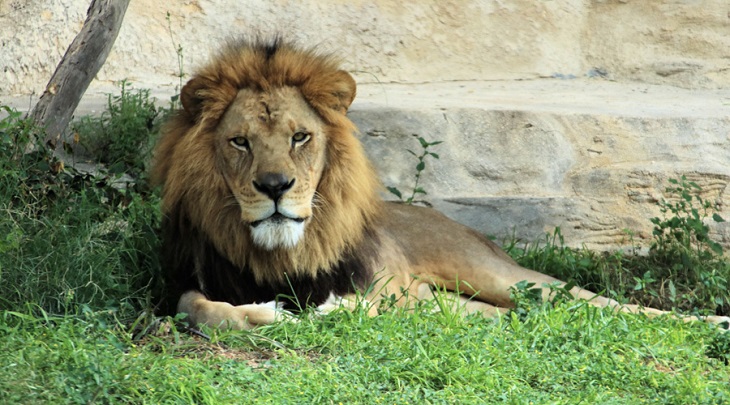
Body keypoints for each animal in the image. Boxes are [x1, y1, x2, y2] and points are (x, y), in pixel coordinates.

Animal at [151, 38, 724, 328]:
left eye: (300, 137)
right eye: (240, 142)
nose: (274, 186)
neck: (281, 252)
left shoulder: (387, 287)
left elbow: (370, 302)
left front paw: (330, 308)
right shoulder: (187, 282)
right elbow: (197, 307)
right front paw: (262, 314)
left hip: (500, 276)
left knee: (594, 302)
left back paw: (710, 324)